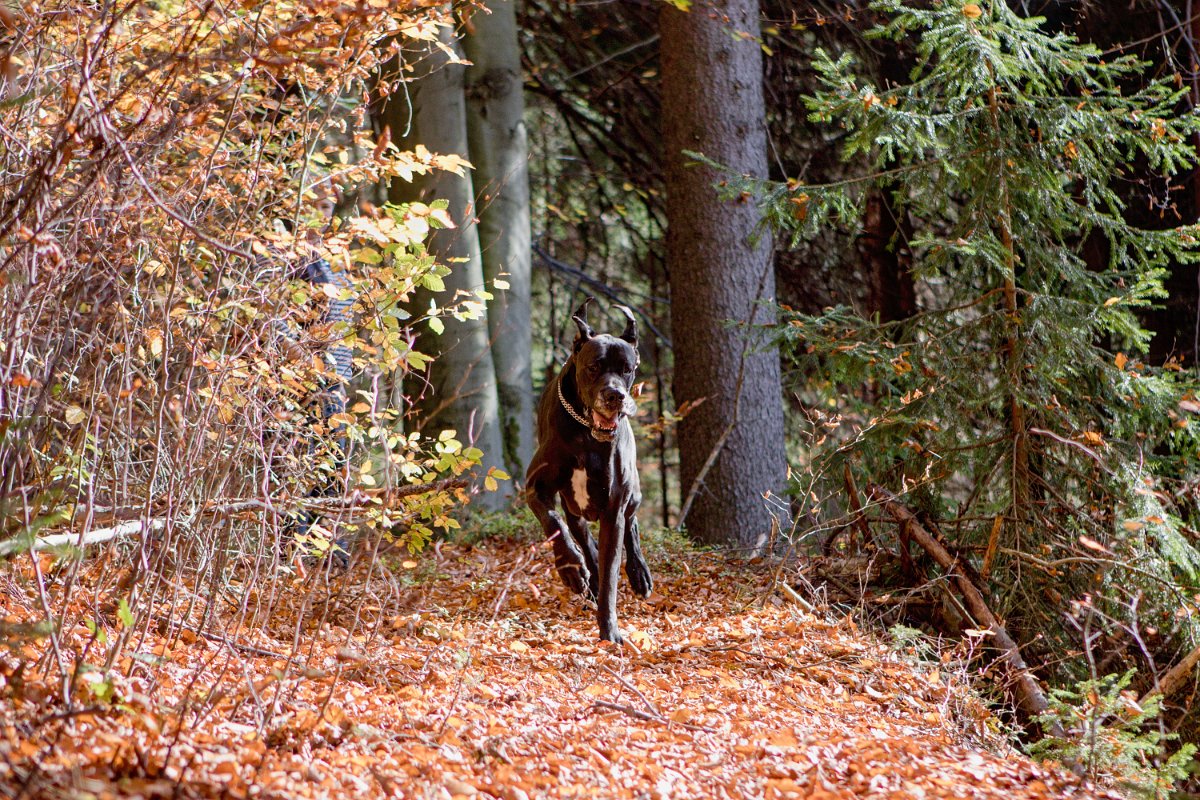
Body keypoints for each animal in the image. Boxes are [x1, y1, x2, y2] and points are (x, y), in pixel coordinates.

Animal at [528, 299, 652, 642]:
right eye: (593, 367)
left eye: (627, 369)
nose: (615, 396)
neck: (585, 433)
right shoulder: (534, 487)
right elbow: (553, 522)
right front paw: (571, 570)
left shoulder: (614, 508)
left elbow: (611, 573)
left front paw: (609, 630)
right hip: (576, 508)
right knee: (580, 534)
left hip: (633, 493)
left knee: (631, 525)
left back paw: (639, 574)